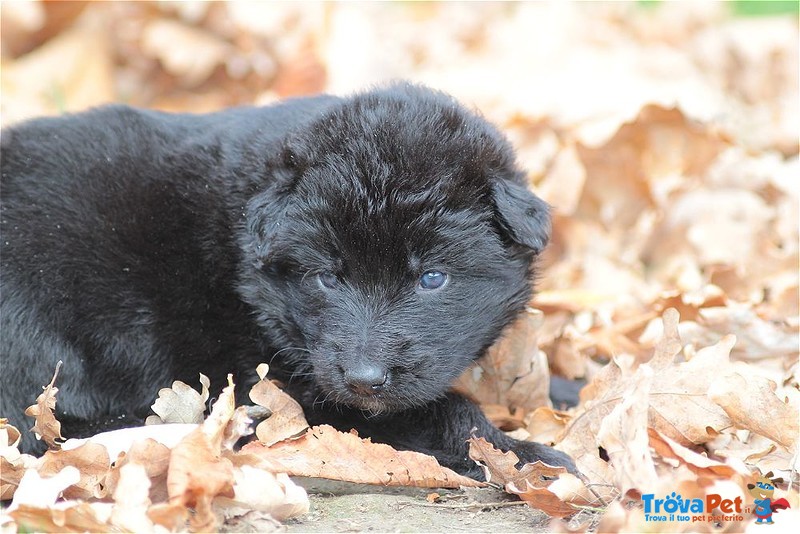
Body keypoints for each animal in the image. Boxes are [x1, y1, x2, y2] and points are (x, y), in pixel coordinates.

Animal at [1, 85, 576, 482]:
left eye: (432, 278)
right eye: (326, 277)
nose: (365, 379)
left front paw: (565, 391)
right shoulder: (288, 390)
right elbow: (446, 411)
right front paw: (526, 455)